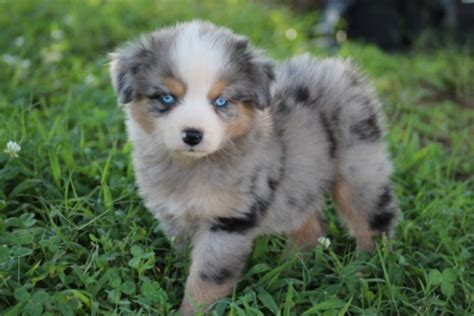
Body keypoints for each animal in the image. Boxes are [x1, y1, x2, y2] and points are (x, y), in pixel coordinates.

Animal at [108, 21, 400, 314]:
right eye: (166, 98)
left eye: (221, 101)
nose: (192, 135)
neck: (193, 166)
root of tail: (337, 69)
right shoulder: (173, 215)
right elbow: (182, 256)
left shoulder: (228, 223)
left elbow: (205, 281)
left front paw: (191, 309)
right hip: (299, 182)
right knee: (312, 224)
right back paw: (290, 267)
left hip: (359, 170)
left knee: (373, 221)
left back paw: (366, 271)